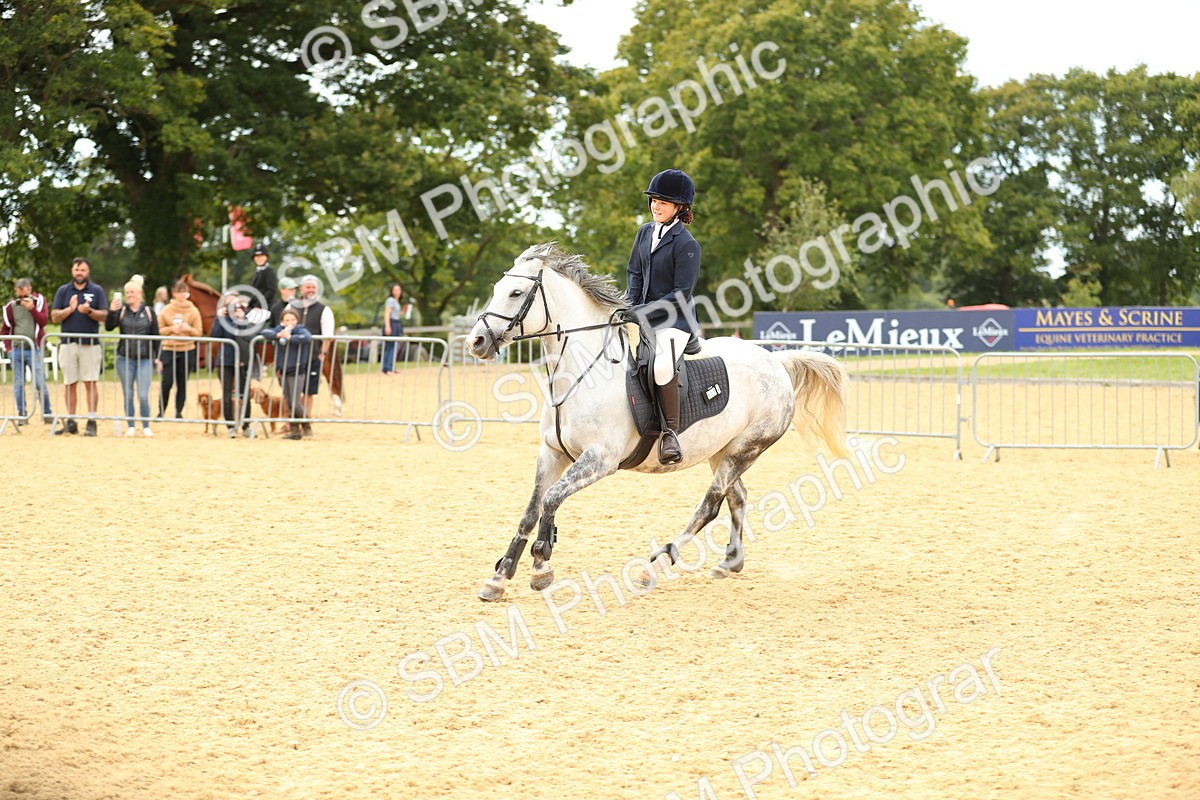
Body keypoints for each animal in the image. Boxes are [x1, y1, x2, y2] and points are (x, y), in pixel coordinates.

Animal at [467, 243, 849, 602]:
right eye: (497, 288)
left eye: (516, 293)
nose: (476, 342)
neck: (581, 375)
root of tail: (775, 361)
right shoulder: (552, 453)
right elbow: (532, 510)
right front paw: (499, 577)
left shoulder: (600, 460)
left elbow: (551, 499)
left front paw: (541, 566)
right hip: (723, 451)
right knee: (737, 496)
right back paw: (729, 562)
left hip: (746, 448)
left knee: (710, 505)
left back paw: (655, 566)